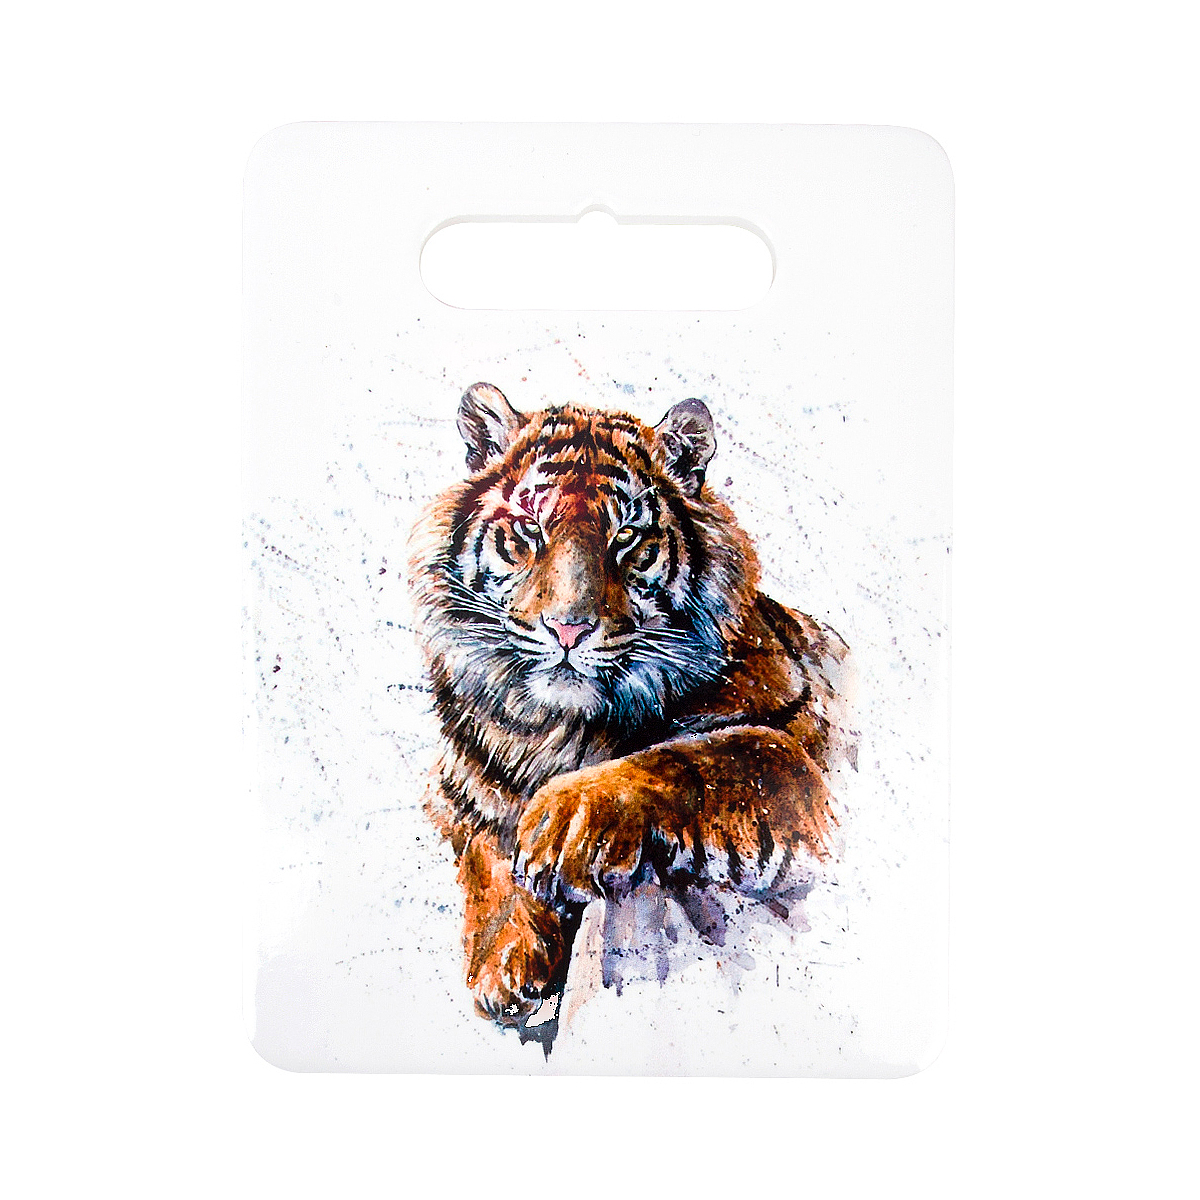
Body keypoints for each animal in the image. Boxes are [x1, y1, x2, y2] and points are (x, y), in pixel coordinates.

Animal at [408, 382, 853, 1029]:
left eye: (627, 540)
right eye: (530, 529)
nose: (568, 628)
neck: (559, 730)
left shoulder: (795, 750)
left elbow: (689, 757)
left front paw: (561, 824)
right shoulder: (457, 791)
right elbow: (484, 852)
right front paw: (504, 964)